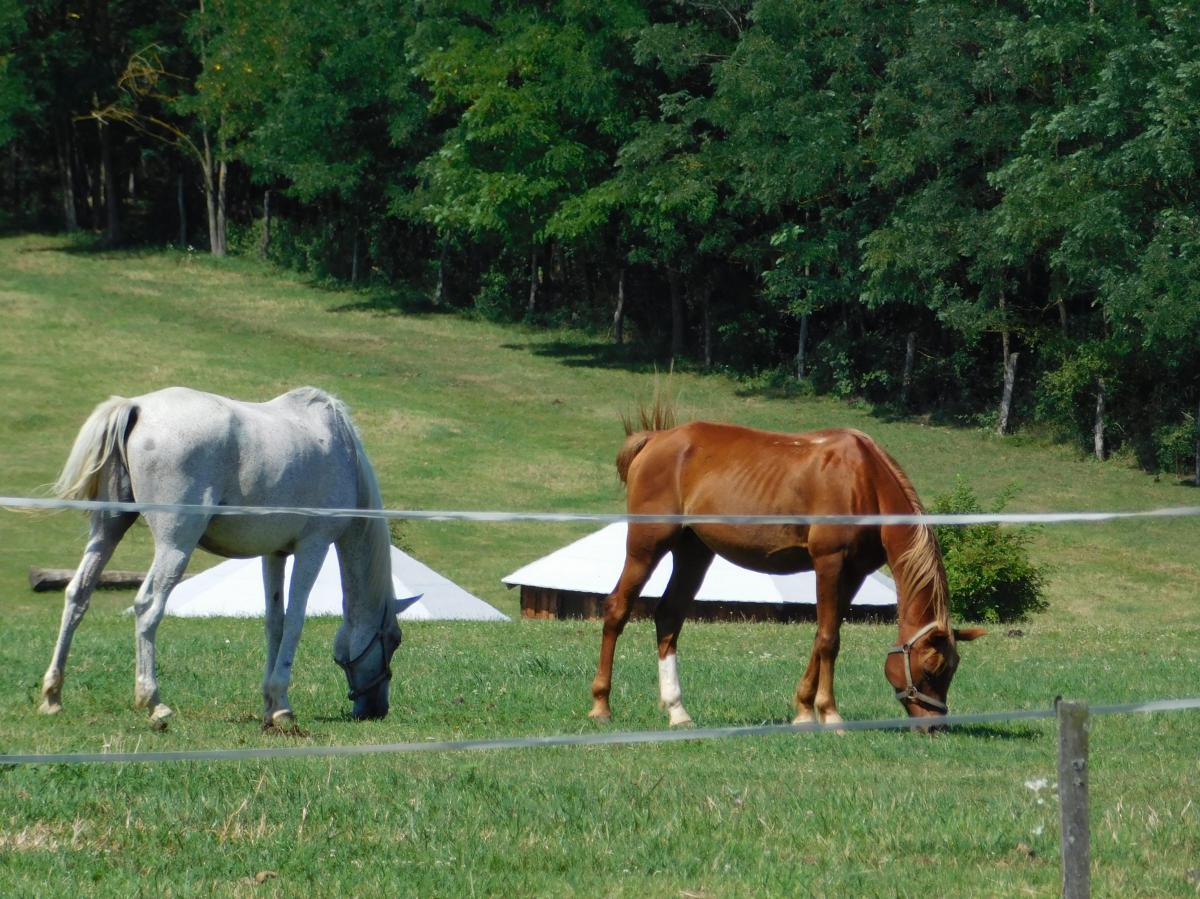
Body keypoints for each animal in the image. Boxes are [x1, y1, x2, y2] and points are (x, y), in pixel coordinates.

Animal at [41, 386, 404, 728]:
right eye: (393, 640)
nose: (376, 710)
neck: (342, 451)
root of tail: (137, 406)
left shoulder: (275, 554)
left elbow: (275, 622)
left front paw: (272, 704)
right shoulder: (313, 547)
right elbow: (296, 620)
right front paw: (283, 707)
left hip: (108, 530)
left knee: (77, 595)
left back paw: (52, 696)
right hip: (175, 544)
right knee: (147, 606)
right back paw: (153, 701)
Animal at [589, 414, 986, 728]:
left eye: (953, 670)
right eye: (932, 669)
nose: (935, 726)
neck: (865, 480)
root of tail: (656, 439)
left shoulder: (853, 574)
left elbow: (822, 635)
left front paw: (805, 709)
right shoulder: (829, 563)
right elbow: (829, 640)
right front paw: (830, 712)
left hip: (693, 552)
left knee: (669, 617)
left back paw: (677, 711)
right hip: (647, 545)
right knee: (617, 608)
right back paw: (601, 705)